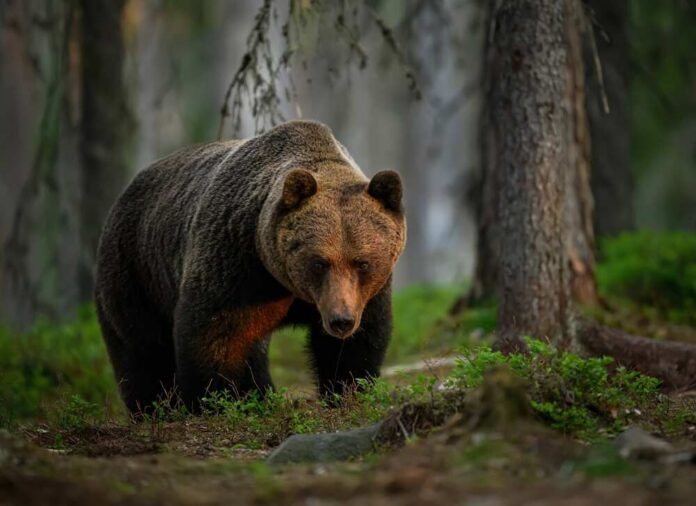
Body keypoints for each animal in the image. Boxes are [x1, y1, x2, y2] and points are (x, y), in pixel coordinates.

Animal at [94, 120, 406, 413]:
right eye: (319, 262)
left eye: (362, 262)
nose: (340, 320)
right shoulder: (238, 264)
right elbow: (220, 337)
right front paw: (227, 400)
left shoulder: (366, 294)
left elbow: (357, 343)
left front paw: (347, 390)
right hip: (136, 272)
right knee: (143, 351)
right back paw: (156, 407)